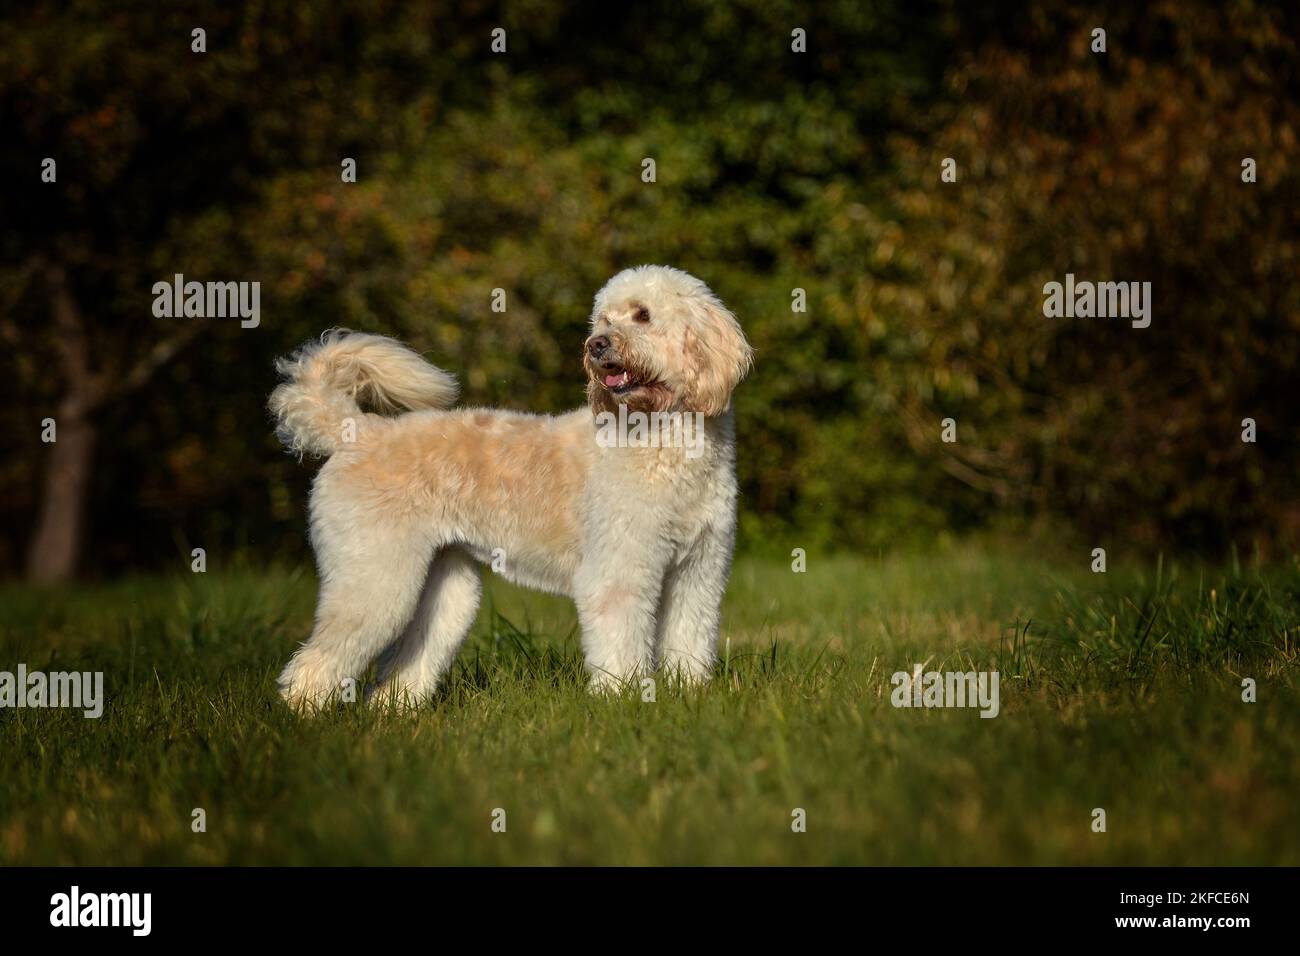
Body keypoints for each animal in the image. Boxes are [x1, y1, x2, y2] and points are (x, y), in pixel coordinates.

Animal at [270, 264, 759, 712]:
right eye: (603, 320)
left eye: (642, 315)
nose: (595, 345)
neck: (663, 440)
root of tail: (356, 431)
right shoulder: (619, 574)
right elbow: (621, 647)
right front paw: (622, 703)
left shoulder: (698, 571)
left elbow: (689, 639)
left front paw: (689, 694)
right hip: (373, 577)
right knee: (316, 660)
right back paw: (304, 716)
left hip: (444, 589)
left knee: (405, 661)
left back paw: (392, 711)